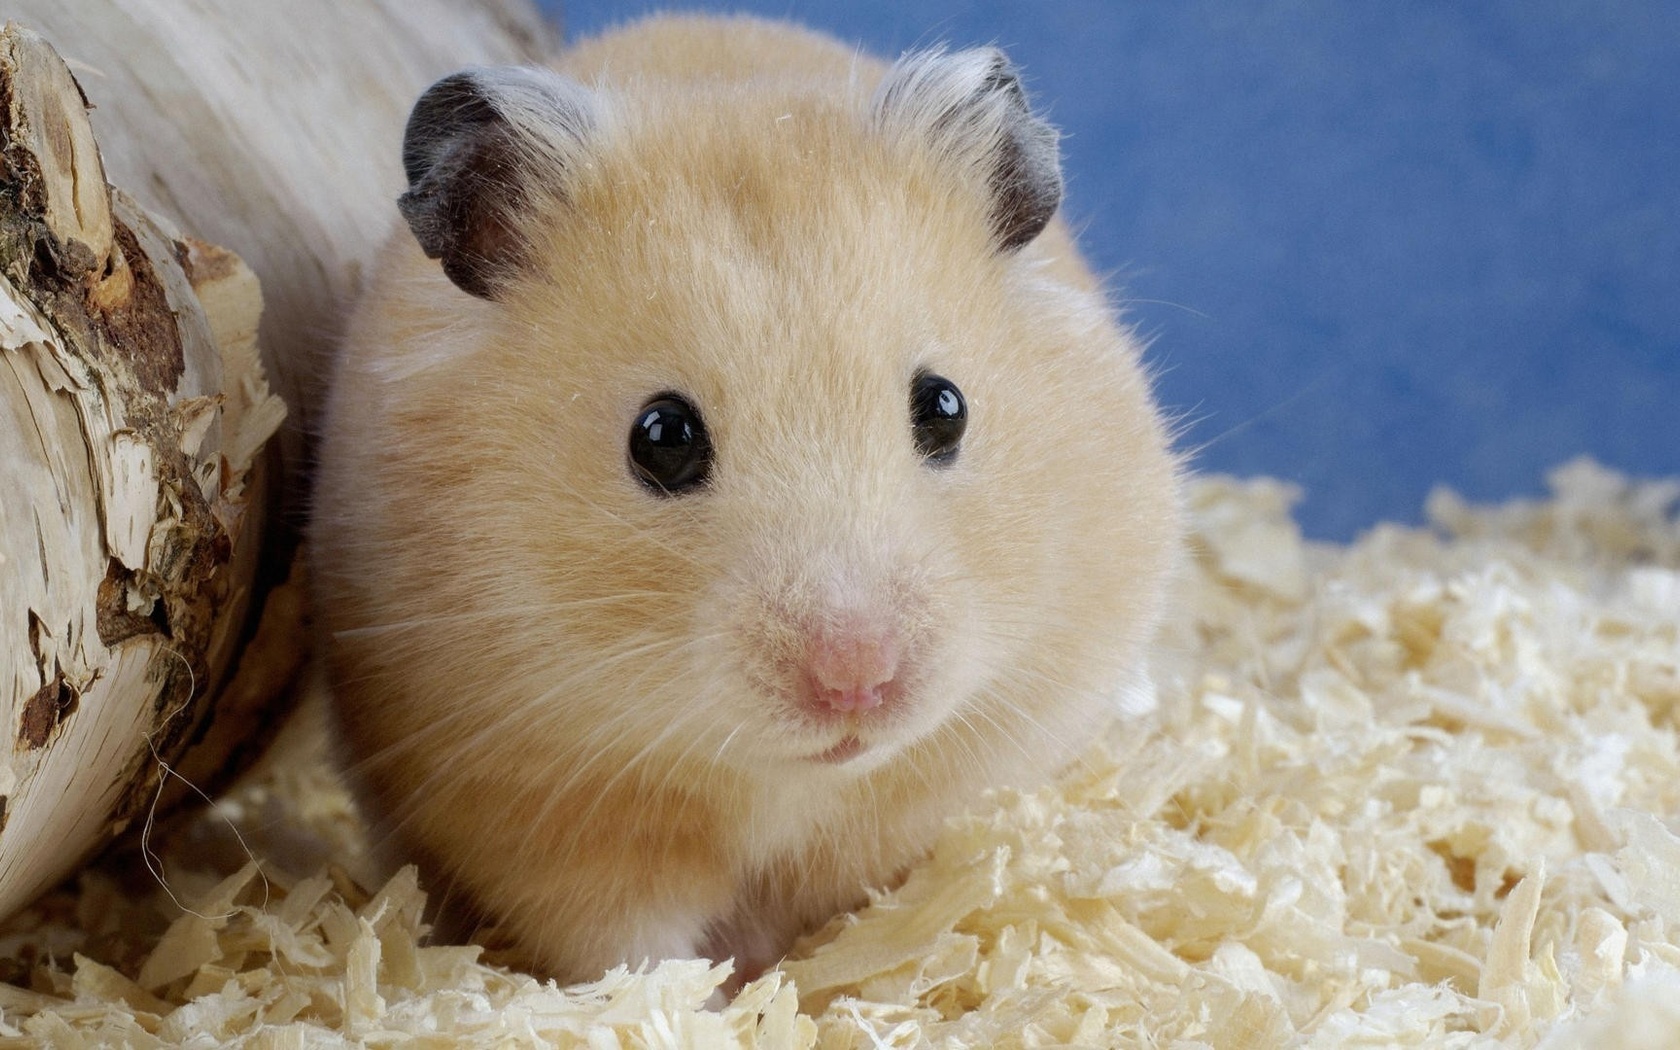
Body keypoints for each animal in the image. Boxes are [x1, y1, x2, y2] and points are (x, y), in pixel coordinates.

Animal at [310, 13, 1182, 983]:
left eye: (945, 407)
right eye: (662, 437)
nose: (857, 682)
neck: (784, 778)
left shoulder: (946, 780)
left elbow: (857, 903)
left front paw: (805, 976)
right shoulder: (541, 809)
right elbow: (628, 945)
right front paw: (713, 997)